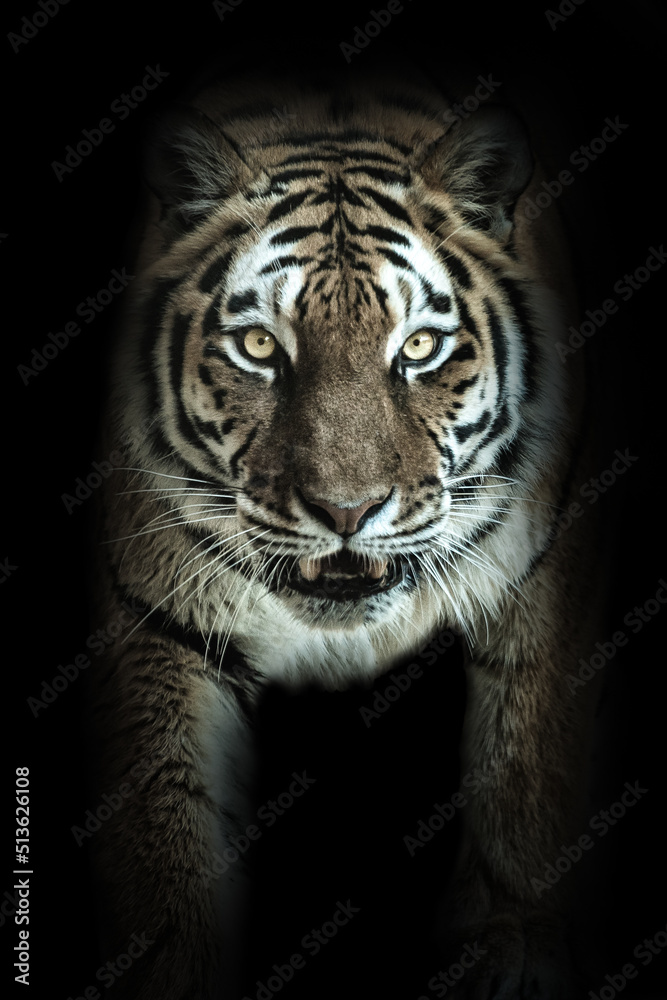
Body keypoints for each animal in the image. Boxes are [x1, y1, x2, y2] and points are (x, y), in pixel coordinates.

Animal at [87, 59, 605, 999]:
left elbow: (528, 750)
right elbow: (160, 822)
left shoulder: (551, 563)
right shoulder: (154, 609)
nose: (345, 512)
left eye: (419, 348)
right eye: (259, 346)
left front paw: (515, 942)